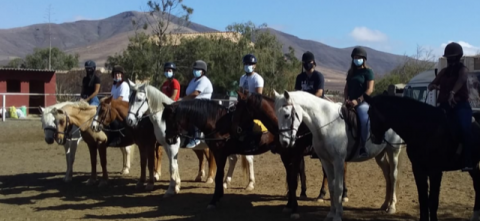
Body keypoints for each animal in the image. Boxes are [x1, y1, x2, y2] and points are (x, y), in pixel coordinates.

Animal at [125, 80, 256, 195]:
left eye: (139, 99)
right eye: (129, 99)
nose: (129, 121)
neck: (164, 119)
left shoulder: (172, 145)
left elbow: (172, 166)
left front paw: (171, 189)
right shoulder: (167, 145)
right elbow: (174, 164)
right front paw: (177, 185)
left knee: (249, 159)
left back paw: (250, 184)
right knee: (233, 159)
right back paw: (225, 183)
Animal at [272, 90, 404, 221]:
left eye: (286, 115)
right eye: (277, 115)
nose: (284, 142)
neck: (326, 123)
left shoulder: (338, 161)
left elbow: (338, 187)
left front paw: (338, 215)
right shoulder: (325, 161)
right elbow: (331, 186)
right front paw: (331, 213)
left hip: (393, 151)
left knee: (393, 176)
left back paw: (391, 207)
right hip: (380, 155)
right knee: (387, 176)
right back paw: (385, 204)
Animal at [364, 93, 480, 221]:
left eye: (370, 113)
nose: (374, 138)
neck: (425, 129)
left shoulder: (435, 171)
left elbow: (433, 201)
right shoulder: (418, 169)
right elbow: (423, 199)